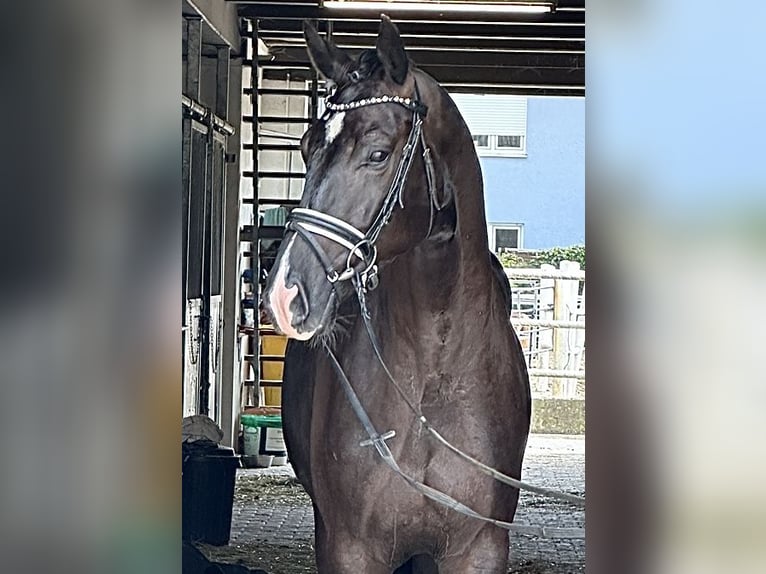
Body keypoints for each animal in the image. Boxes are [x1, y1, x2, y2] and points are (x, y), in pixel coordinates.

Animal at [262, 18, 528, 574]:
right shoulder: (348, 548)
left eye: (378, 153)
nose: (285, 293)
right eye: (306, 148)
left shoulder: (479, 550)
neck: (433, 376)